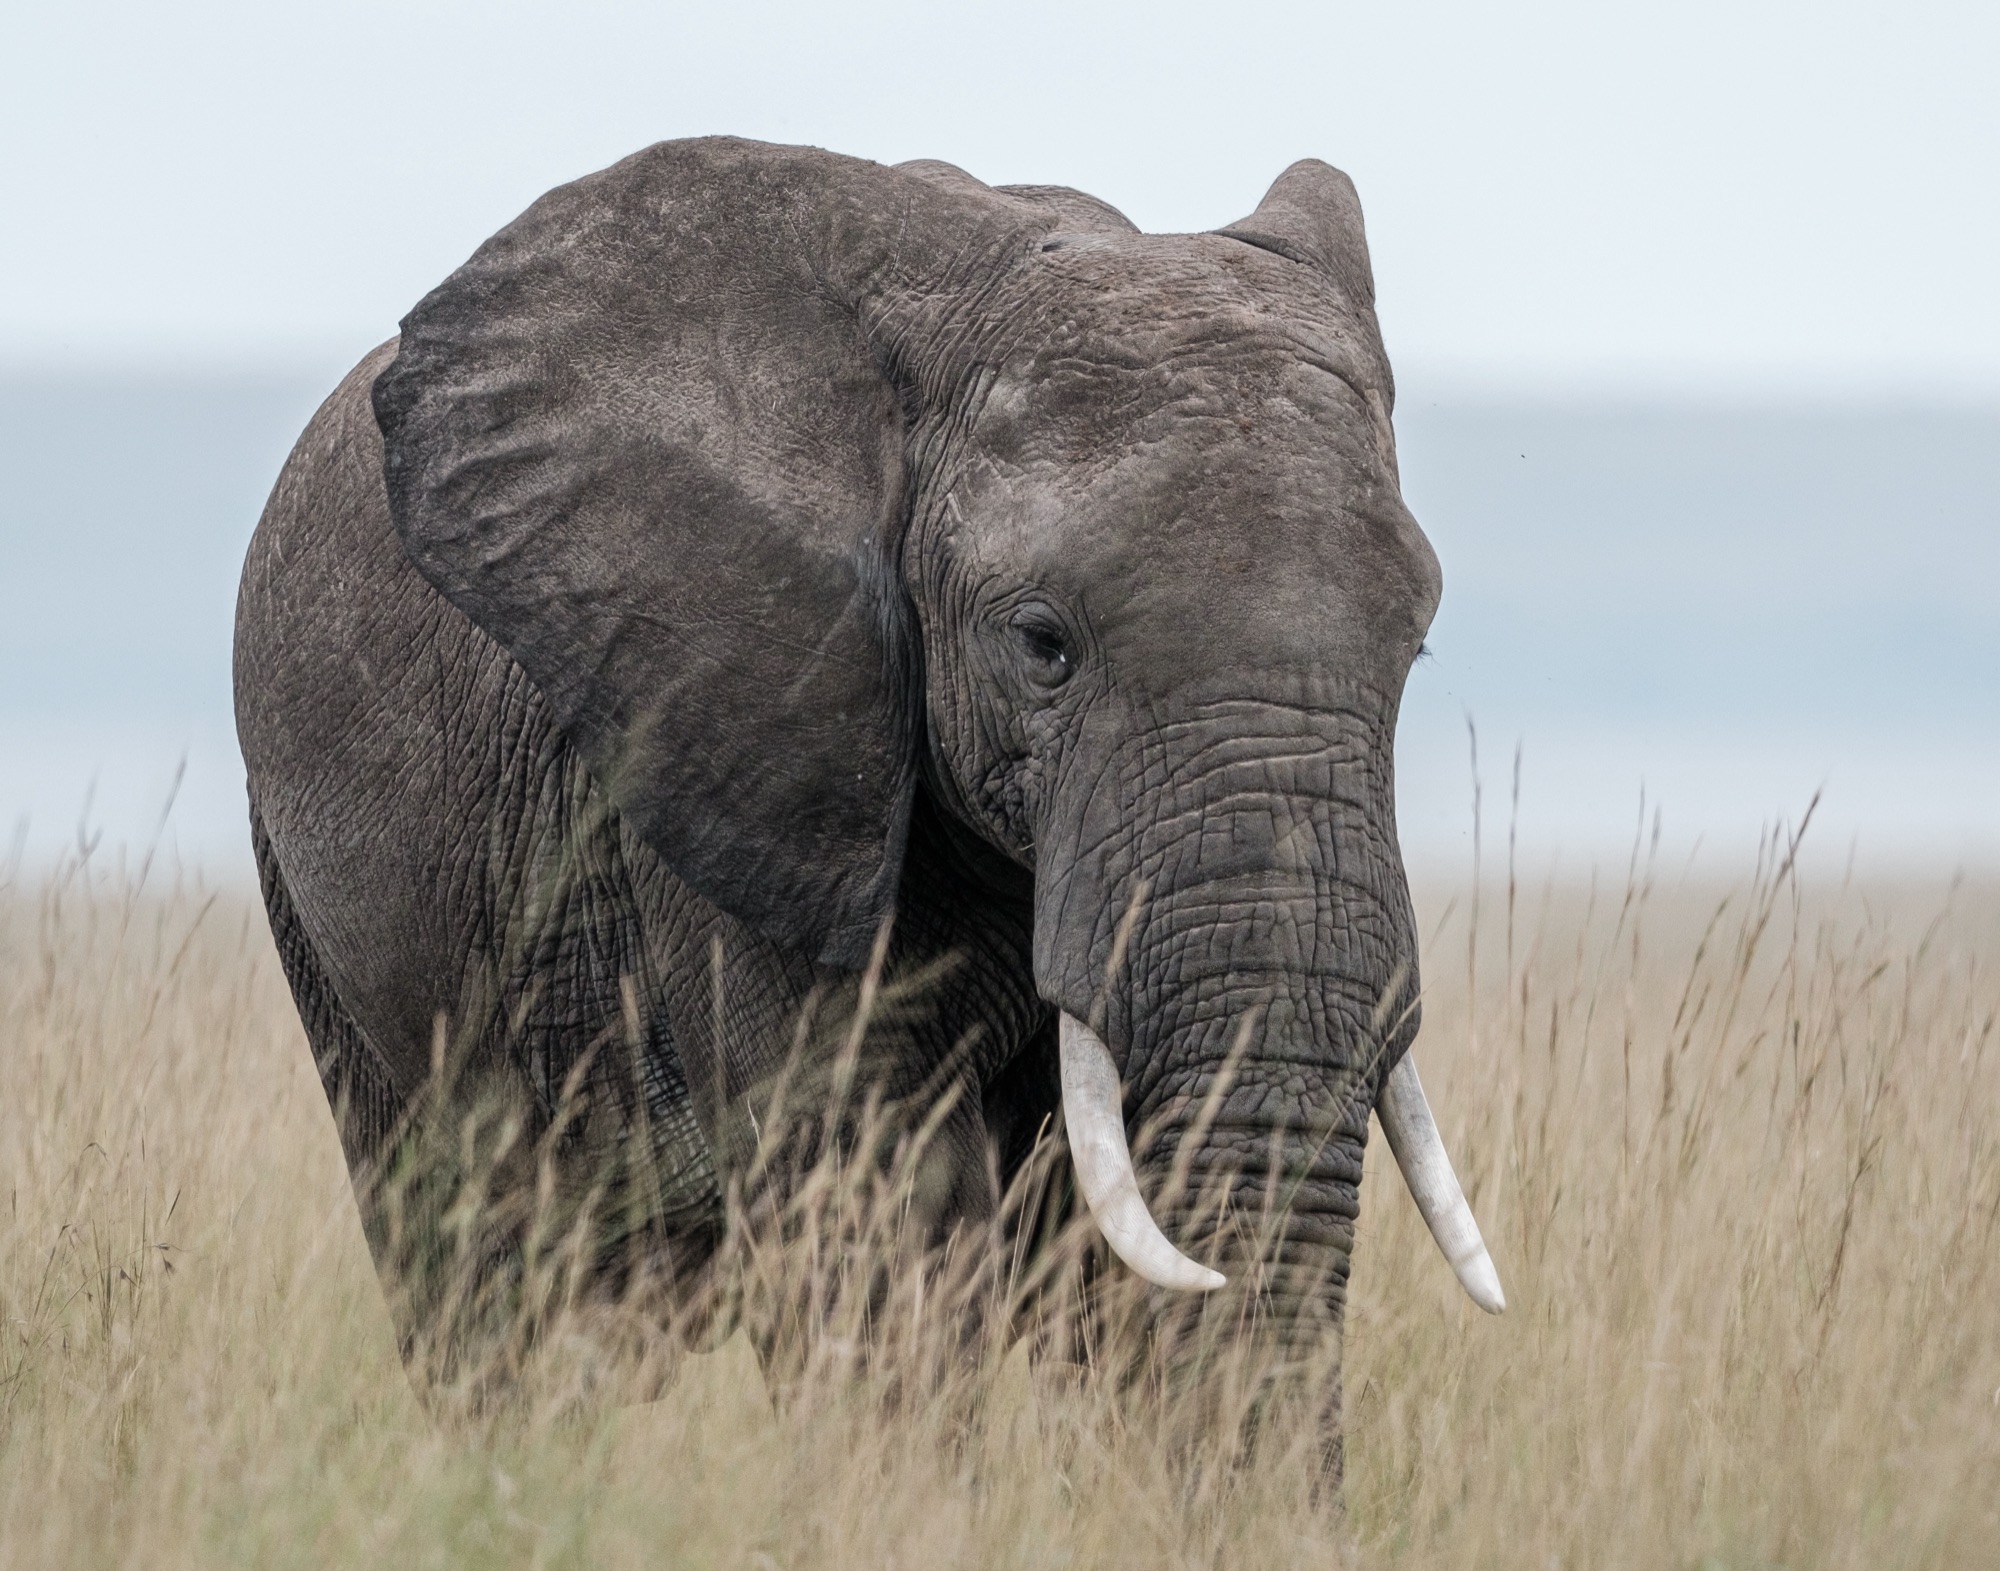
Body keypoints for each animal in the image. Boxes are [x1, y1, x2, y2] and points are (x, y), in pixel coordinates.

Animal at [234, 135, 1502, 1468]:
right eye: (1042, 643)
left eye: (1413, 647)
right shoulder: (737, 736)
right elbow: (878, 1207)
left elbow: (1095, 1235)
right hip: (327, 920)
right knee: (469, 1265)